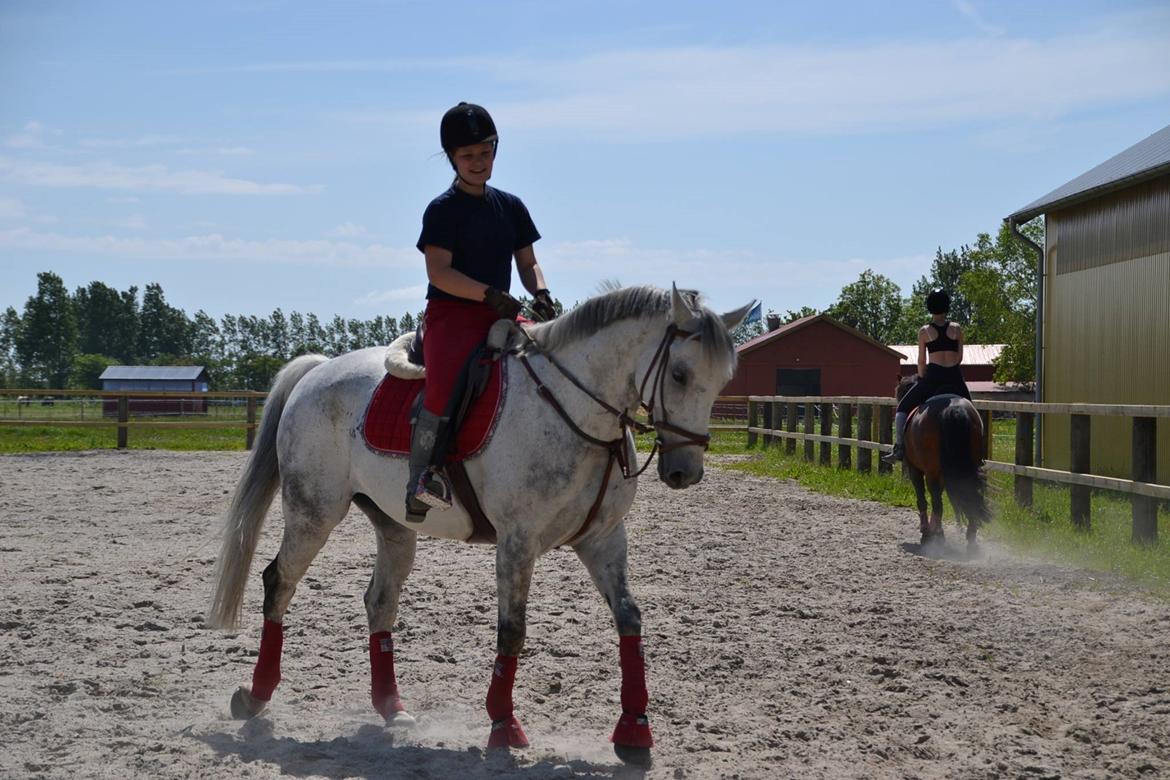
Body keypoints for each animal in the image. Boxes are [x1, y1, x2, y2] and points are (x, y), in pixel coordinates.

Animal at [205, 284, 748, 767]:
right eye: (679, 374)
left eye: (723, 380)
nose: (685, 472)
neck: (573, 409)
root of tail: (318, 370)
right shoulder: (517, 543)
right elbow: (512, 631)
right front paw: (503, 726)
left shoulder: (603, 539)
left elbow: (630, 620)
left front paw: (635, 733)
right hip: (313, 512)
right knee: (279, 583)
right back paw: (255, 696)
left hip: (393, 526)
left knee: (379, 602)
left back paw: (392, 709)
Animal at [893, 374, 987, 547]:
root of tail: (954, 409)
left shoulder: (915, 469)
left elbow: (922, 499)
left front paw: (927, 531)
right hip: (969, 468)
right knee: (970, 495)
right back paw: (970, 540)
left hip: (930, 469)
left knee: (937, 501)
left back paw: (932, 535)